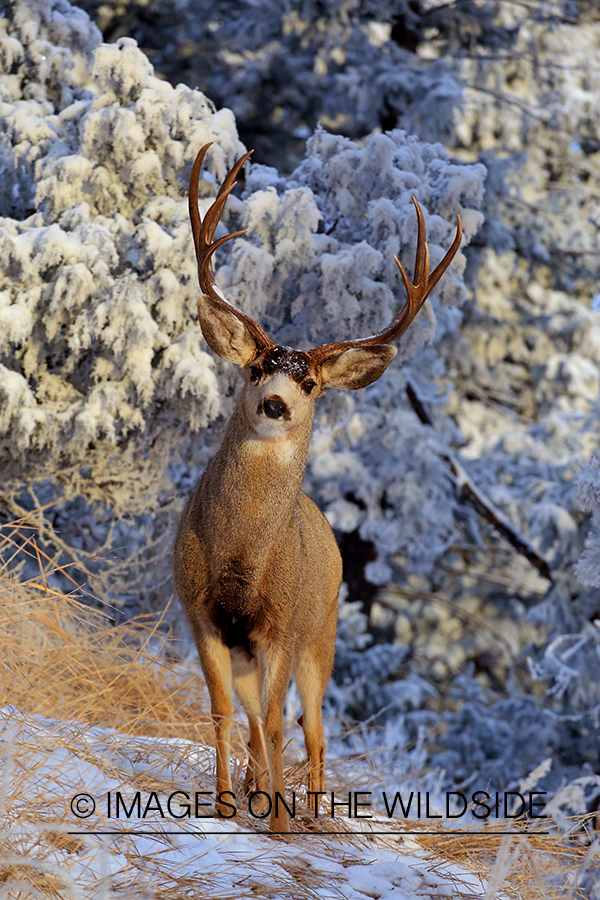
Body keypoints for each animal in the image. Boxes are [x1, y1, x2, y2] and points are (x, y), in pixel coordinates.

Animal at [171, 144, 462, 832]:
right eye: (256, 368)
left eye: (309, 384)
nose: (275, 404)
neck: (242, 560)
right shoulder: (199, 613)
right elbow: (225, 712)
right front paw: (224, 808)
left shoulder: (282, 624)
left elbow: (281, 725)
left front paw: (278, 826)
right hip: (259, 649)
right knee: (257, 718)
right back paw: (257, 791)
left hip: (321, 634)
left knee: (315, 727)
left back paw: (309, 809)